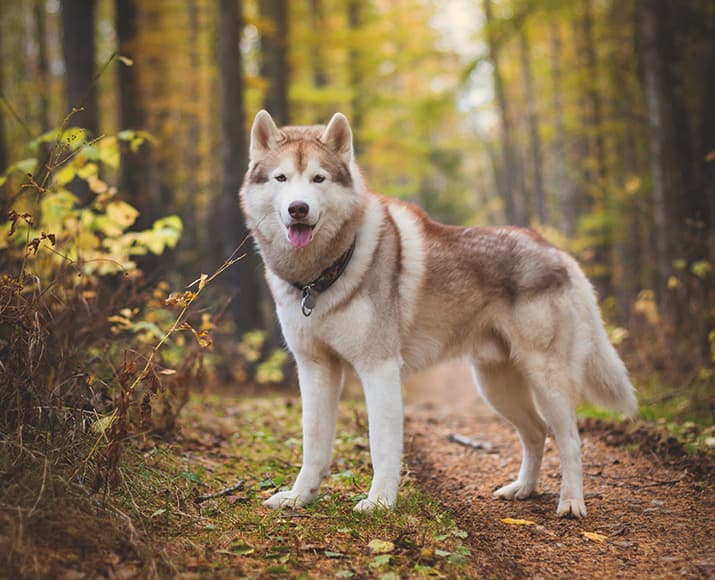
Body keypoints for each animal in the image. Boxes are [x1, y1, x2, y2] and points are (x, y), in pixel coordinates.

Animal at [242, 111, 636, 520]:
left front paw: (380, 502)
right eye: (281, 178)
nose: (298, 208)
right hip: (496, 385)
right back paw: (523, 489)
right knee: (537, 432)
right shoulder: (315, 369)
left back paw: (571, 502)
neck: (321, 277)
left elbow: (382, 446)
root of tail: (558, 252)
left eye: (318, 178)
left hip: (547, 377)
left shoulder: (379, 369)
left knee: (570, 439)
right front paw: (299, 497)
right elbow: (313, 445)